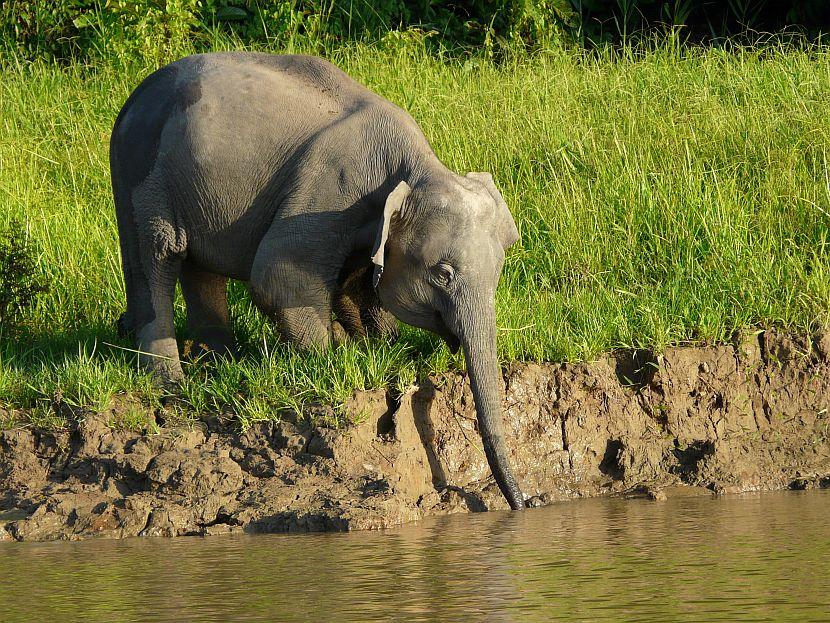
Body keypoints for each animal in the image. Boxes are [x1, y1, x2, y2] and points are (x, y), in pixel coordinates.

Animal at [110, 52, 528, 512]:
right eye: (443, 273)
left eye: (498, 273)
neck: (414, 168)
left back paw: (220, 364)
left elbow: (358, 286)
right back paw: (171, 387)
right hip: (140, 176)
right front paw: (331, 359)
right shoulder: (331, 194)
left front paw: (377, 348)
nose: (524, 503)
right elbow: (278, 278)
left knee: (199, 270)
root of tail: (133, 98)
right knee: (156, 259)